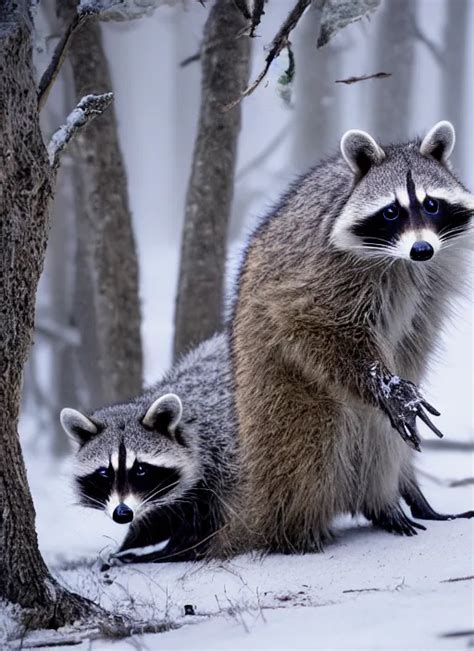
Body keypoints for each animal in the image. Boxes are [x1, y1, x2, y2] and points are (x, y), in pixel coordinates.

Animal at [61, 334, 235, 564]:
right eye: (104, 472)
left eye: (141, 469)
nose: (122, 513)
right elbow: (161, 517)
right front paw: (131, 543)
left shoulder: (226, 462)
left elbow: (204, 524)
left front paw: (169, 552)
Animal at [226, 122, 474, 556]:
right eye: (391, 211)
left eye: (431, 205)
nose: (422, 248)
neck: (402, 261)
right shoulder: (318, 271)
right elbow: (311, 323)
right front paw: (385, 383)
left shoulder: (432, 284)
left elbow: (413, 346)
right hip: (275, 388)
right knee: (312, 443)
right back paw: (300, 530)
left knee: (381, 438)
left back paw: (391, 499)